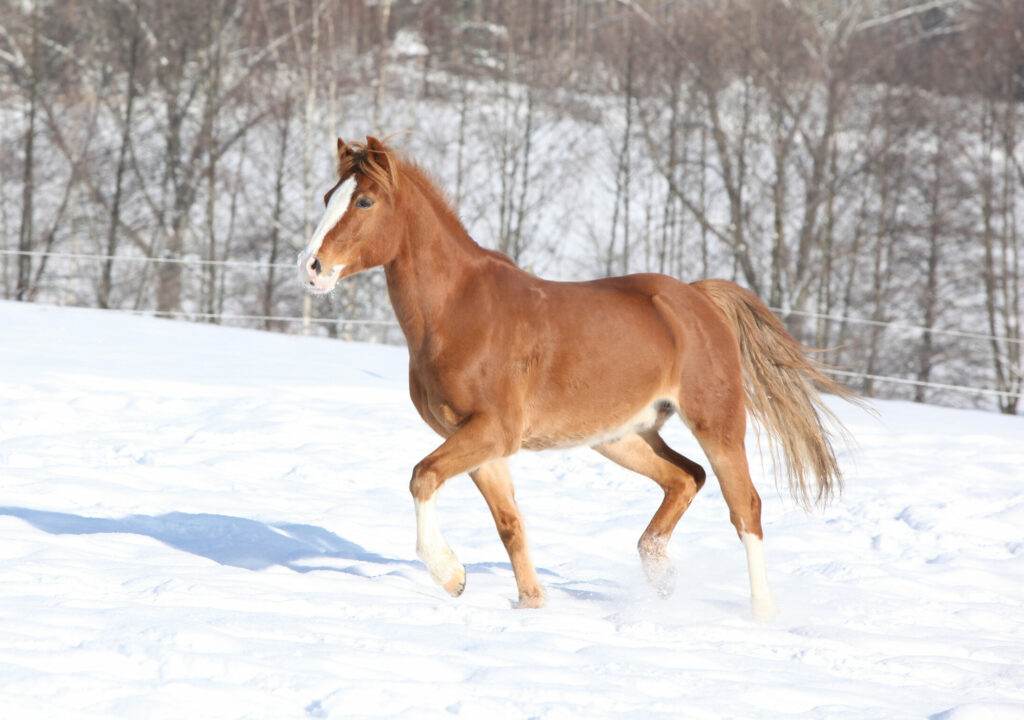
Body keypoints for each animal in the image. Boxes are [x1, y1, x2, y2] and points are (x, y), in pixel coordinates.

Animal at [299, 135, 856, 618]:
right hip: (623, 437)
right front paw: (530, 604)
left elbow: (423, 477)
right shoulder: (478, 443)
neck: (460, 310)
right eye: (329, 196)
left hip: (717, 425)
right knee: (686, 478)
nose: (312, 267)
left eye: (364, 201)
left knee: (746, 508)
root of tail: (699, 298)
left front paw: (451, 576)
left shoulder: (492, 432)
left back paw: (762, 613)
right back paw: (658, 577)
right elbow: (509, 524)